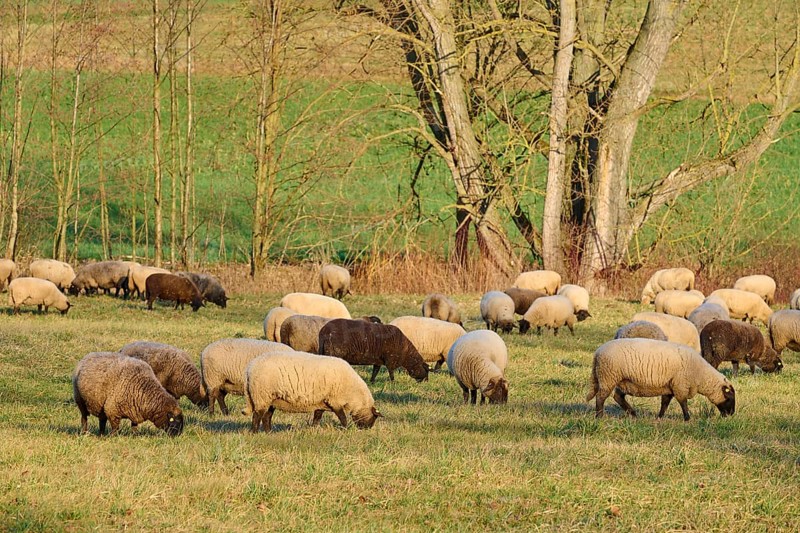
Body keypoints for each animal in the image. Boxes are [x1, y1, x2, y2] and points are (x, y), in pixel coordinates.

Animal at [245, 351, 382, 432]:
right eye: (373, 419)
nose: (365, 430)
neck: (354, 394)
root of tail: (250, 368)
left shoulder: (322, 401)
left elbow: (317, 416)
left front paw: (313, 429)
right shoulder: (335, 401)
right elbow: (342, 417)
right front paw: (345, 429)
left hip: (271, 398)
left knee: (266, 416)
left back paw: (268, 432)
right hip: (262, 395)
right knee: (257, 415)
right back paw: (254, 432)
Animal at [588, 339, 735, 420]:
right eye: (729, 397)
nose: (731, 414)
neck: (700, 374)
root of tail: (597, 353)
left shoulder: (670, 386)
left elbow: (665, 403)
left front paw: (659, 417)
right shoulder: (679, 385)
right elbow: (683, 402)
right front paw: (687, 418)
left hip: (623, 380)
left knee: (618, 397)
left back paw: (634, 414)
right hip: (608, 376)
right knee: (601, 397)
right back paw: (599, 416)